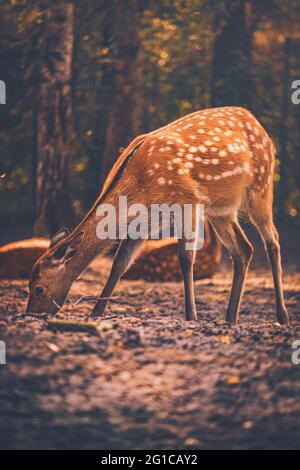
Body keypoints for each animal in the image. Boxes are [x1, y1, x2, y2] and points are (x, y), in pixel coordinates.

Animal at [27, 107, 290, 324]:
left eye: (38, 287)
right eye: (29, 285)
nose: (31, 314)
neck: (142, 188)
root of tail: (259, 125)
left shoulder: (188, 202)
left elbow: (185, 258)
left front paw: (191, 315)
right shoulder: (143, 223)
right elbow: (119, 264)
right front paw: (96, 313)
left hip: (261, 187)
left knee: (273, 240)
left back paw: (281, 316)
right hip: (221, 210)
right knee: (244, 249)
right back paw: (230, 317)